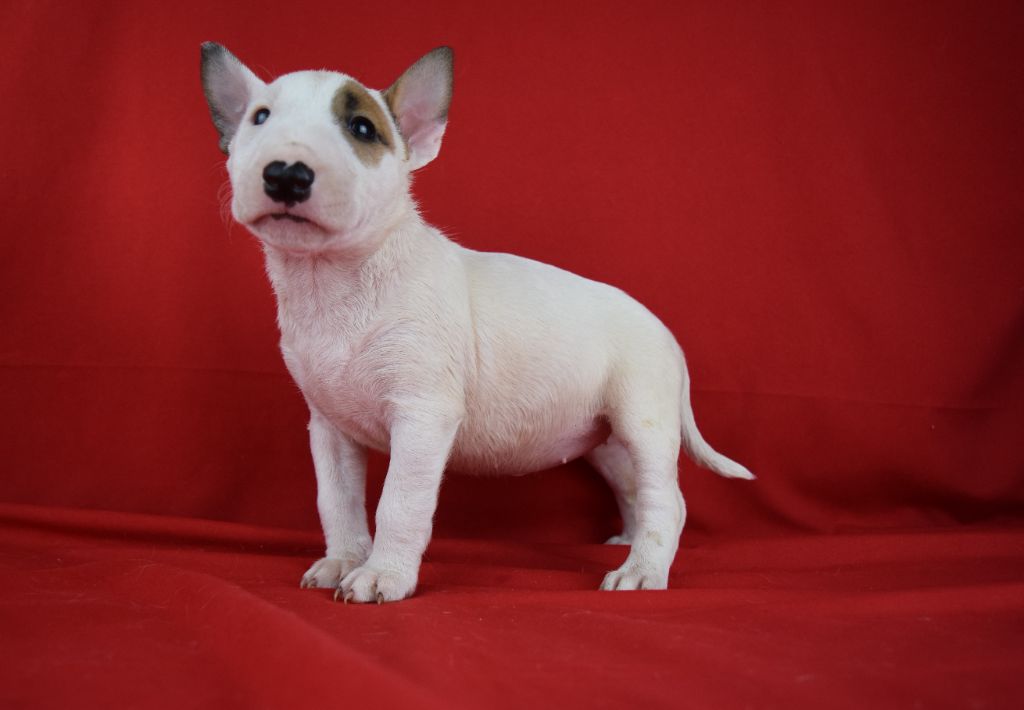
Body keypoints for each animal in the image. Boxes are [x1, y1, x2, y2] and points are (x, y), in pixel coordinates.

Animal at [200, 43, 754, 603]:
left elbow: (398, 502)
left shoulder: (423, 415)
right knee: (632, 485)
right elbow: (336, 501)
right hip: (606, 437)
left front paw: (382, 575)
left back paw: (642, 570)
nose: (285, 174)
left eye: (361, 128)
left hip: (644, 416)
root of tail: (666, 333)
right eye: (260, 117)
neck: (334, 281)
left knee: (667, 498)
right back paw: (628, 542)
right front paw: (342, 561)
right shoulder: (330, 428)